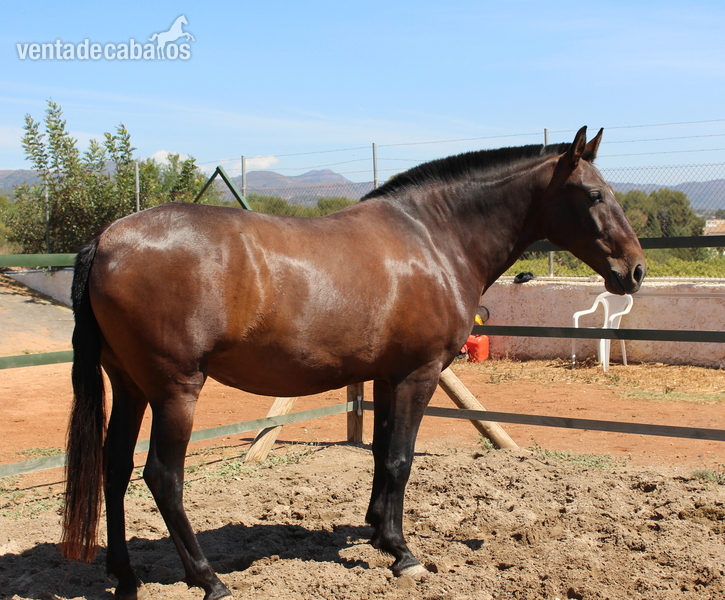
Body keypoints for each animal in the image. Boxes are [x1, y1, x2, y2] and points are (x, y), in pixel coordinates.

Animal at [62, 127, 645, 600]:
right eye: (595, 194)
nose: (635, 271)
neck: (433, 238)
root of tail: (106, 239)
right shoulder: (418, 375)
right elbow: (400, 459)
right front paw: (404, 554)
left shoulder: (387, 377)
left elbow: (383, 454)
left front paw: (381, 534)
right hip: (175, 390)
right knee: (162, 477)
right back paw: (209, 580)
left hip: (132, 386)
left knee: (115, 469)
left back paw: (125, 576)